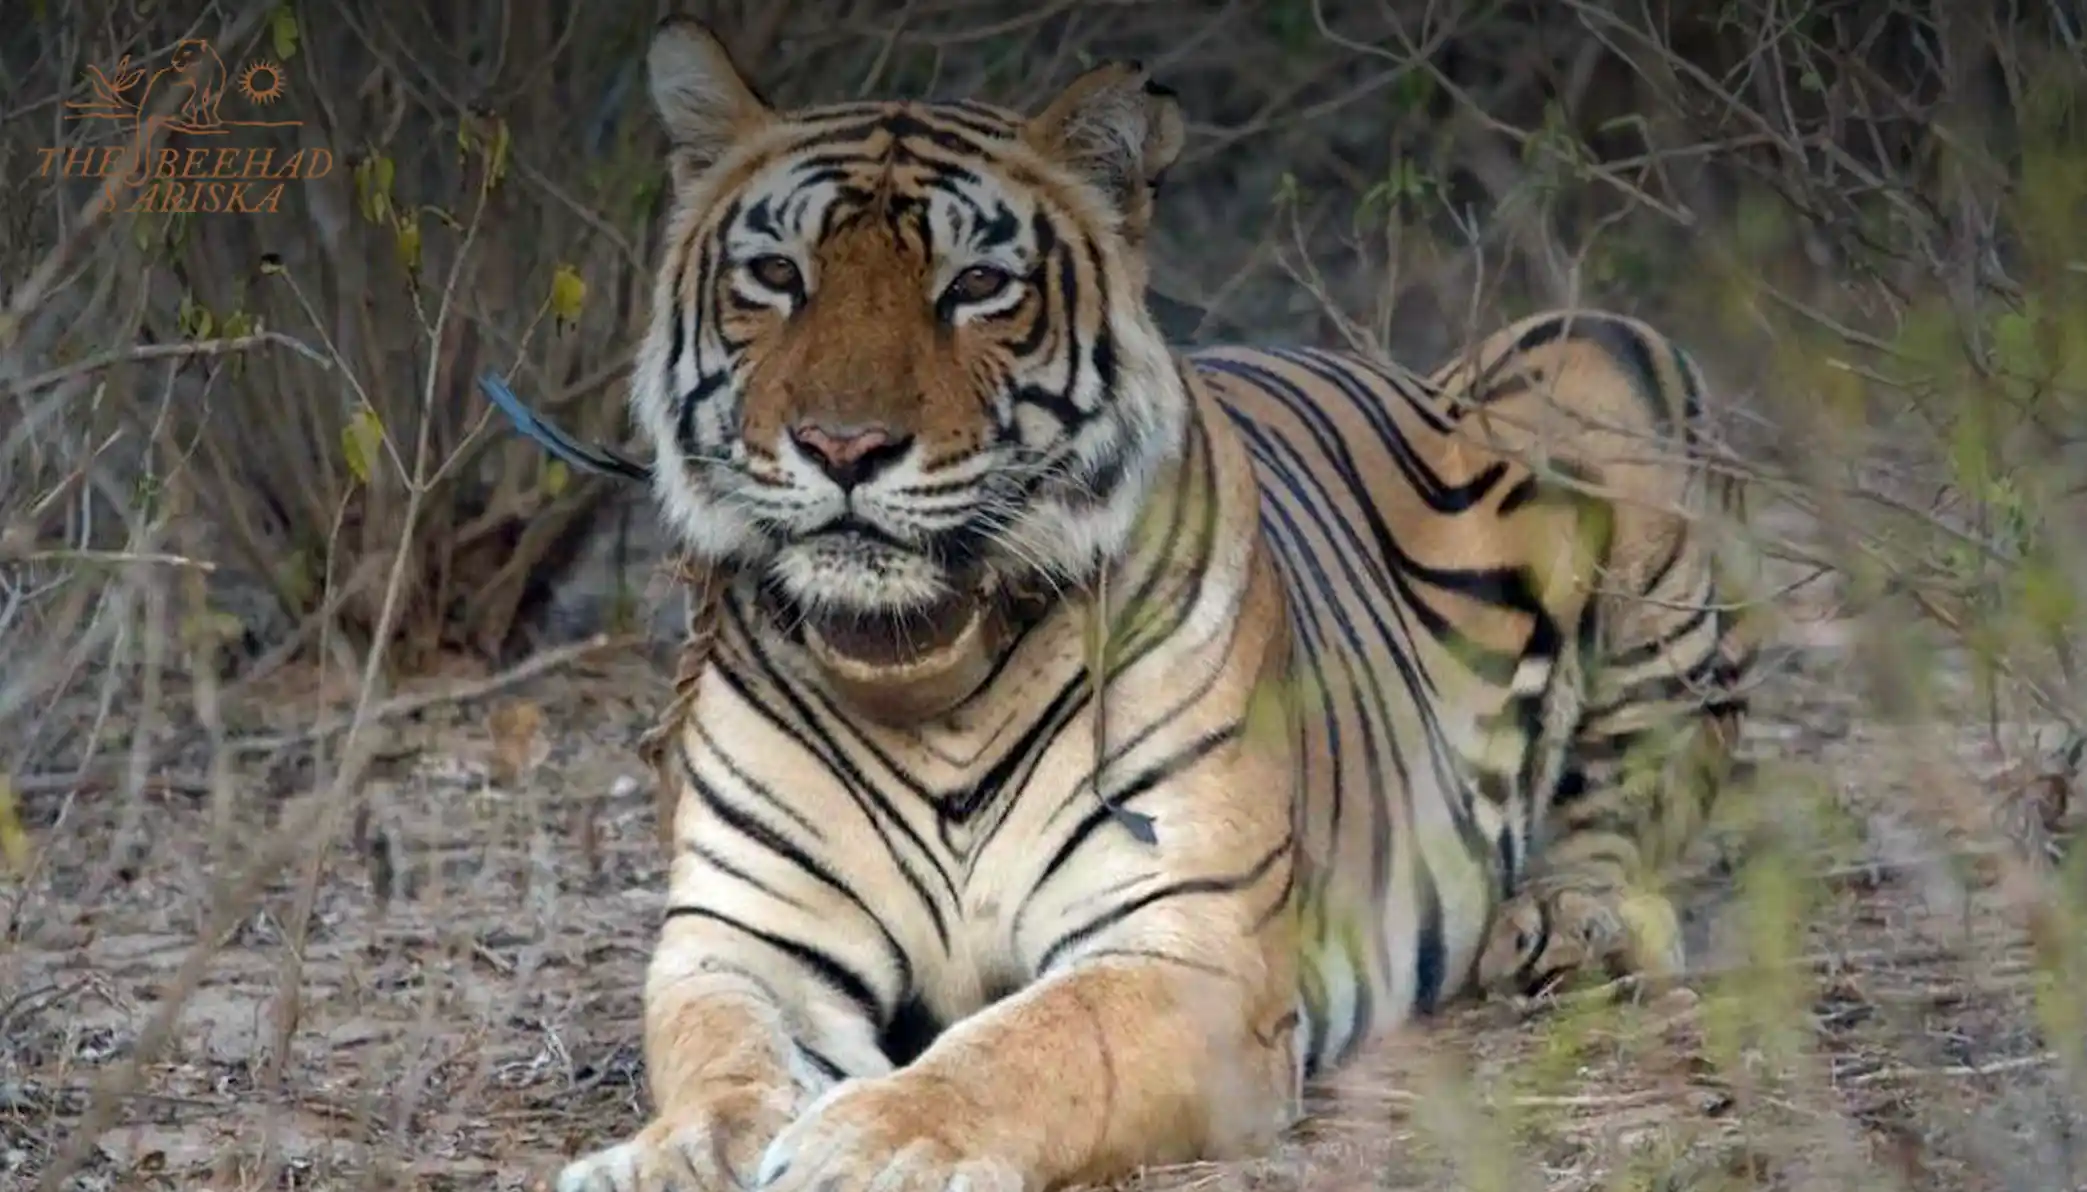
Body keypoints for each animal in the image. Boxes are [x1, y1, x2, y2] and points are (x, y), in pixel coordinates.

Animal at [555, 16, 1758, 1192]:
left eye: (975, 285)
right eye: (775, 274)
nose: (842, 447)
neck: (921, 666)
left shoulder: (1184, 945)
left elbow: (1029, 1046)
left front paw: (874, 1142)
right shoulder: (743, 937)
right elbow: (725, 1052)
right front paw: (675, 1153)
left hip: (1600, 361)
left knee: (1637, 785)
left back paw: (1564, 924)